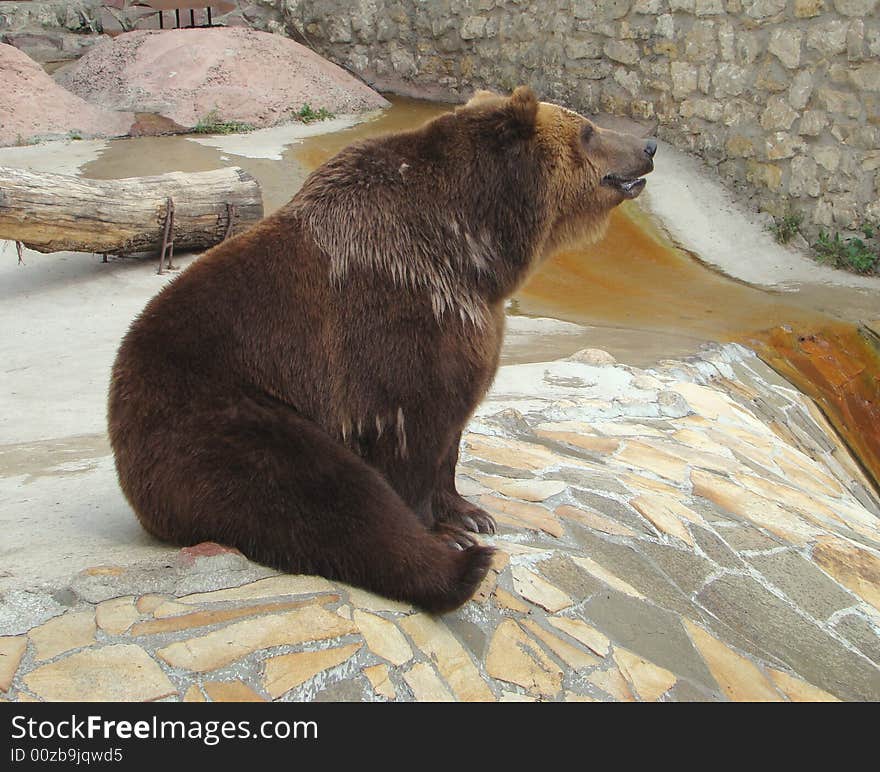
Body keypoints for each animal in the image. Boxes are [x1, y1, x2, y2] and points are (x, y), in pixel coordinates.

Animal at [108, 86, 652, 616]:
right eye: (588, 130)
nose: (647, 146)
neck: (473, 247)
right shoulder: (398, 310)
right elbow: (412, 427)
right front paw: (447, 528)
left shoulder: (472, 318)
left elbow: (453, 430)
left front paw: (470, 512)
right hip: (215, 416)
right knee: (327, 496)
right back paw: (459, 568)